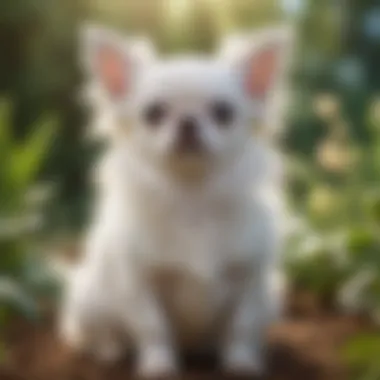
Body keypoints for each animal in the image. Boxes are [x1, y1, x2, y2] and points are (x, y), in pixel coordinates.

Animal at [60, 23, 294, 378]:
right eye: (154, 113)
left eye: (223, 113)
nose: (188, 121)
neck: (192, 196)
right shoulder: (141, 283)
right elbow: (153, 327)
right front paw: (159, 365)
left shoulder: (251, 283)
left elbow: (241, 326)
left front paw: (240, 363)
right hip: (89, 301)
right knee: (94, 333)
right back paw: (110, 351)